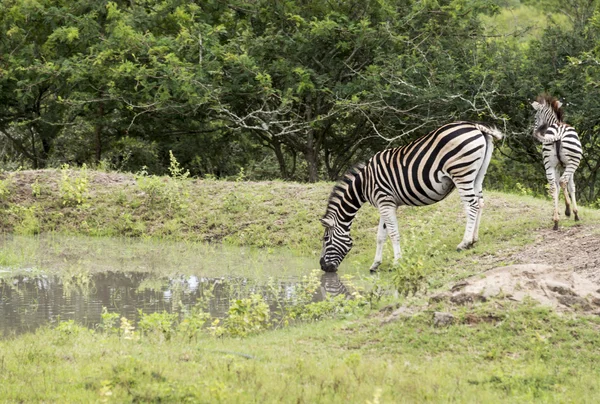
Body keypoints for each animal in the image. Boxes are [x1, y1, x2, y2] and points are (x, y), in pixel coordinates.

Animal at [318, 120, 502, 272]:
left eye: (326, 239)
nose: (323, 267)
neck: (364, 184)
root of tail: (475, 126)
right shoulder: (384, 204)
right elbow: (380, 236)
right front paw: (375, 264)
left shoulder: (385, 201)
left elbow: (393, 233)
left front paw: (397, 262)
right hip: (477, 175)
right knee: (480, 203)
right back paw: (474, 240)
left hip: (461, 172)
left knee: (471, 205)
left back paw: (464, 243)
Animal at [532, 93, 584, 229]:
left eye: (535, 117)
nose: (533, 133)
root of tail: (558, 132)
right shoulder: (567, 166)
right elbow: (571, 187)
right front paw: (574, 213)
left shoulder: (557, 167)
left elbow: (558, 187)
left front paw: (555, 214)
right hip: (572, 163)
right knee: (562, 181)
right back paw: (568, 211)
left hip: (548, 164)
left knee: (553, 186)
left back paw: (556, 221)